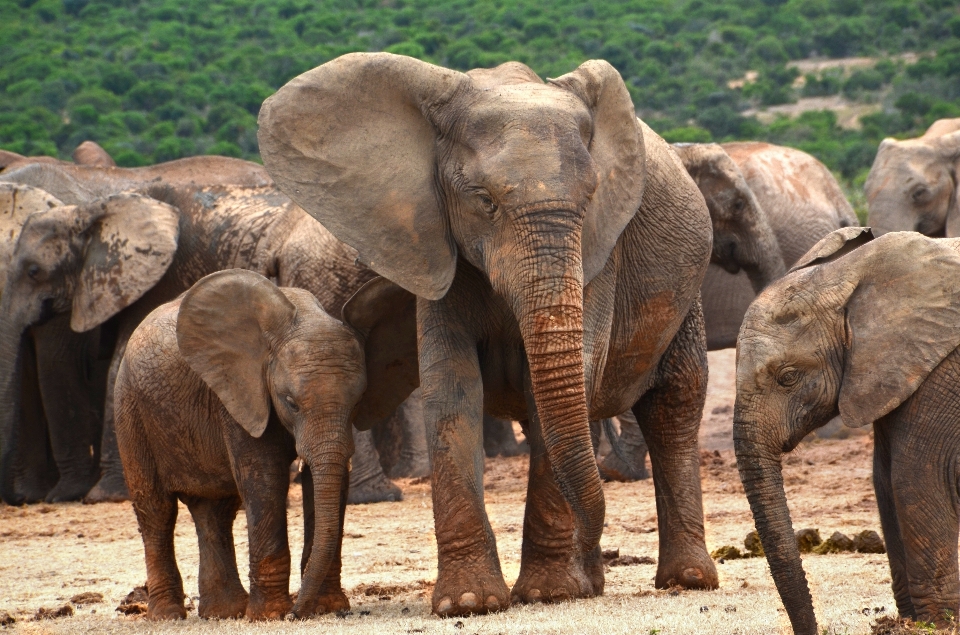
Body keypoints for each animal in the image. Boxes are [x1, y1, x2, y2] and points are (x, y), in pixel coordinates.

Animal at [114, 270, 414, 620]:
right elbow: (264, 480)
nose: (297, 613)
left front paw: (326, 608)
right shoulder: (240, 394)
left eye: (357, 402)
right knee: (156, 510)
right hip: (129, 408)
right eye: (290, 402)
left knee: (215, 510)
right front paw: (270, 616)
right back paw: (168, 615)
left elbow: (331, 482)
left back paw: (224, 613)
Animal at [258, 53, 716, 616]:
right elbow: (451, 387)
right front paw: (469, 602)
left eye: (591, 198)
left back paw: (684, 580)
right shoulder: (432, 241)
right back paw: (594, 582)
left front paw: (548, 594)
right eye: (484, 201)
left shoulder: (601, 251)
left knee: (674, 403)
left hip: (688, 292)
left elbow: (560, 389)